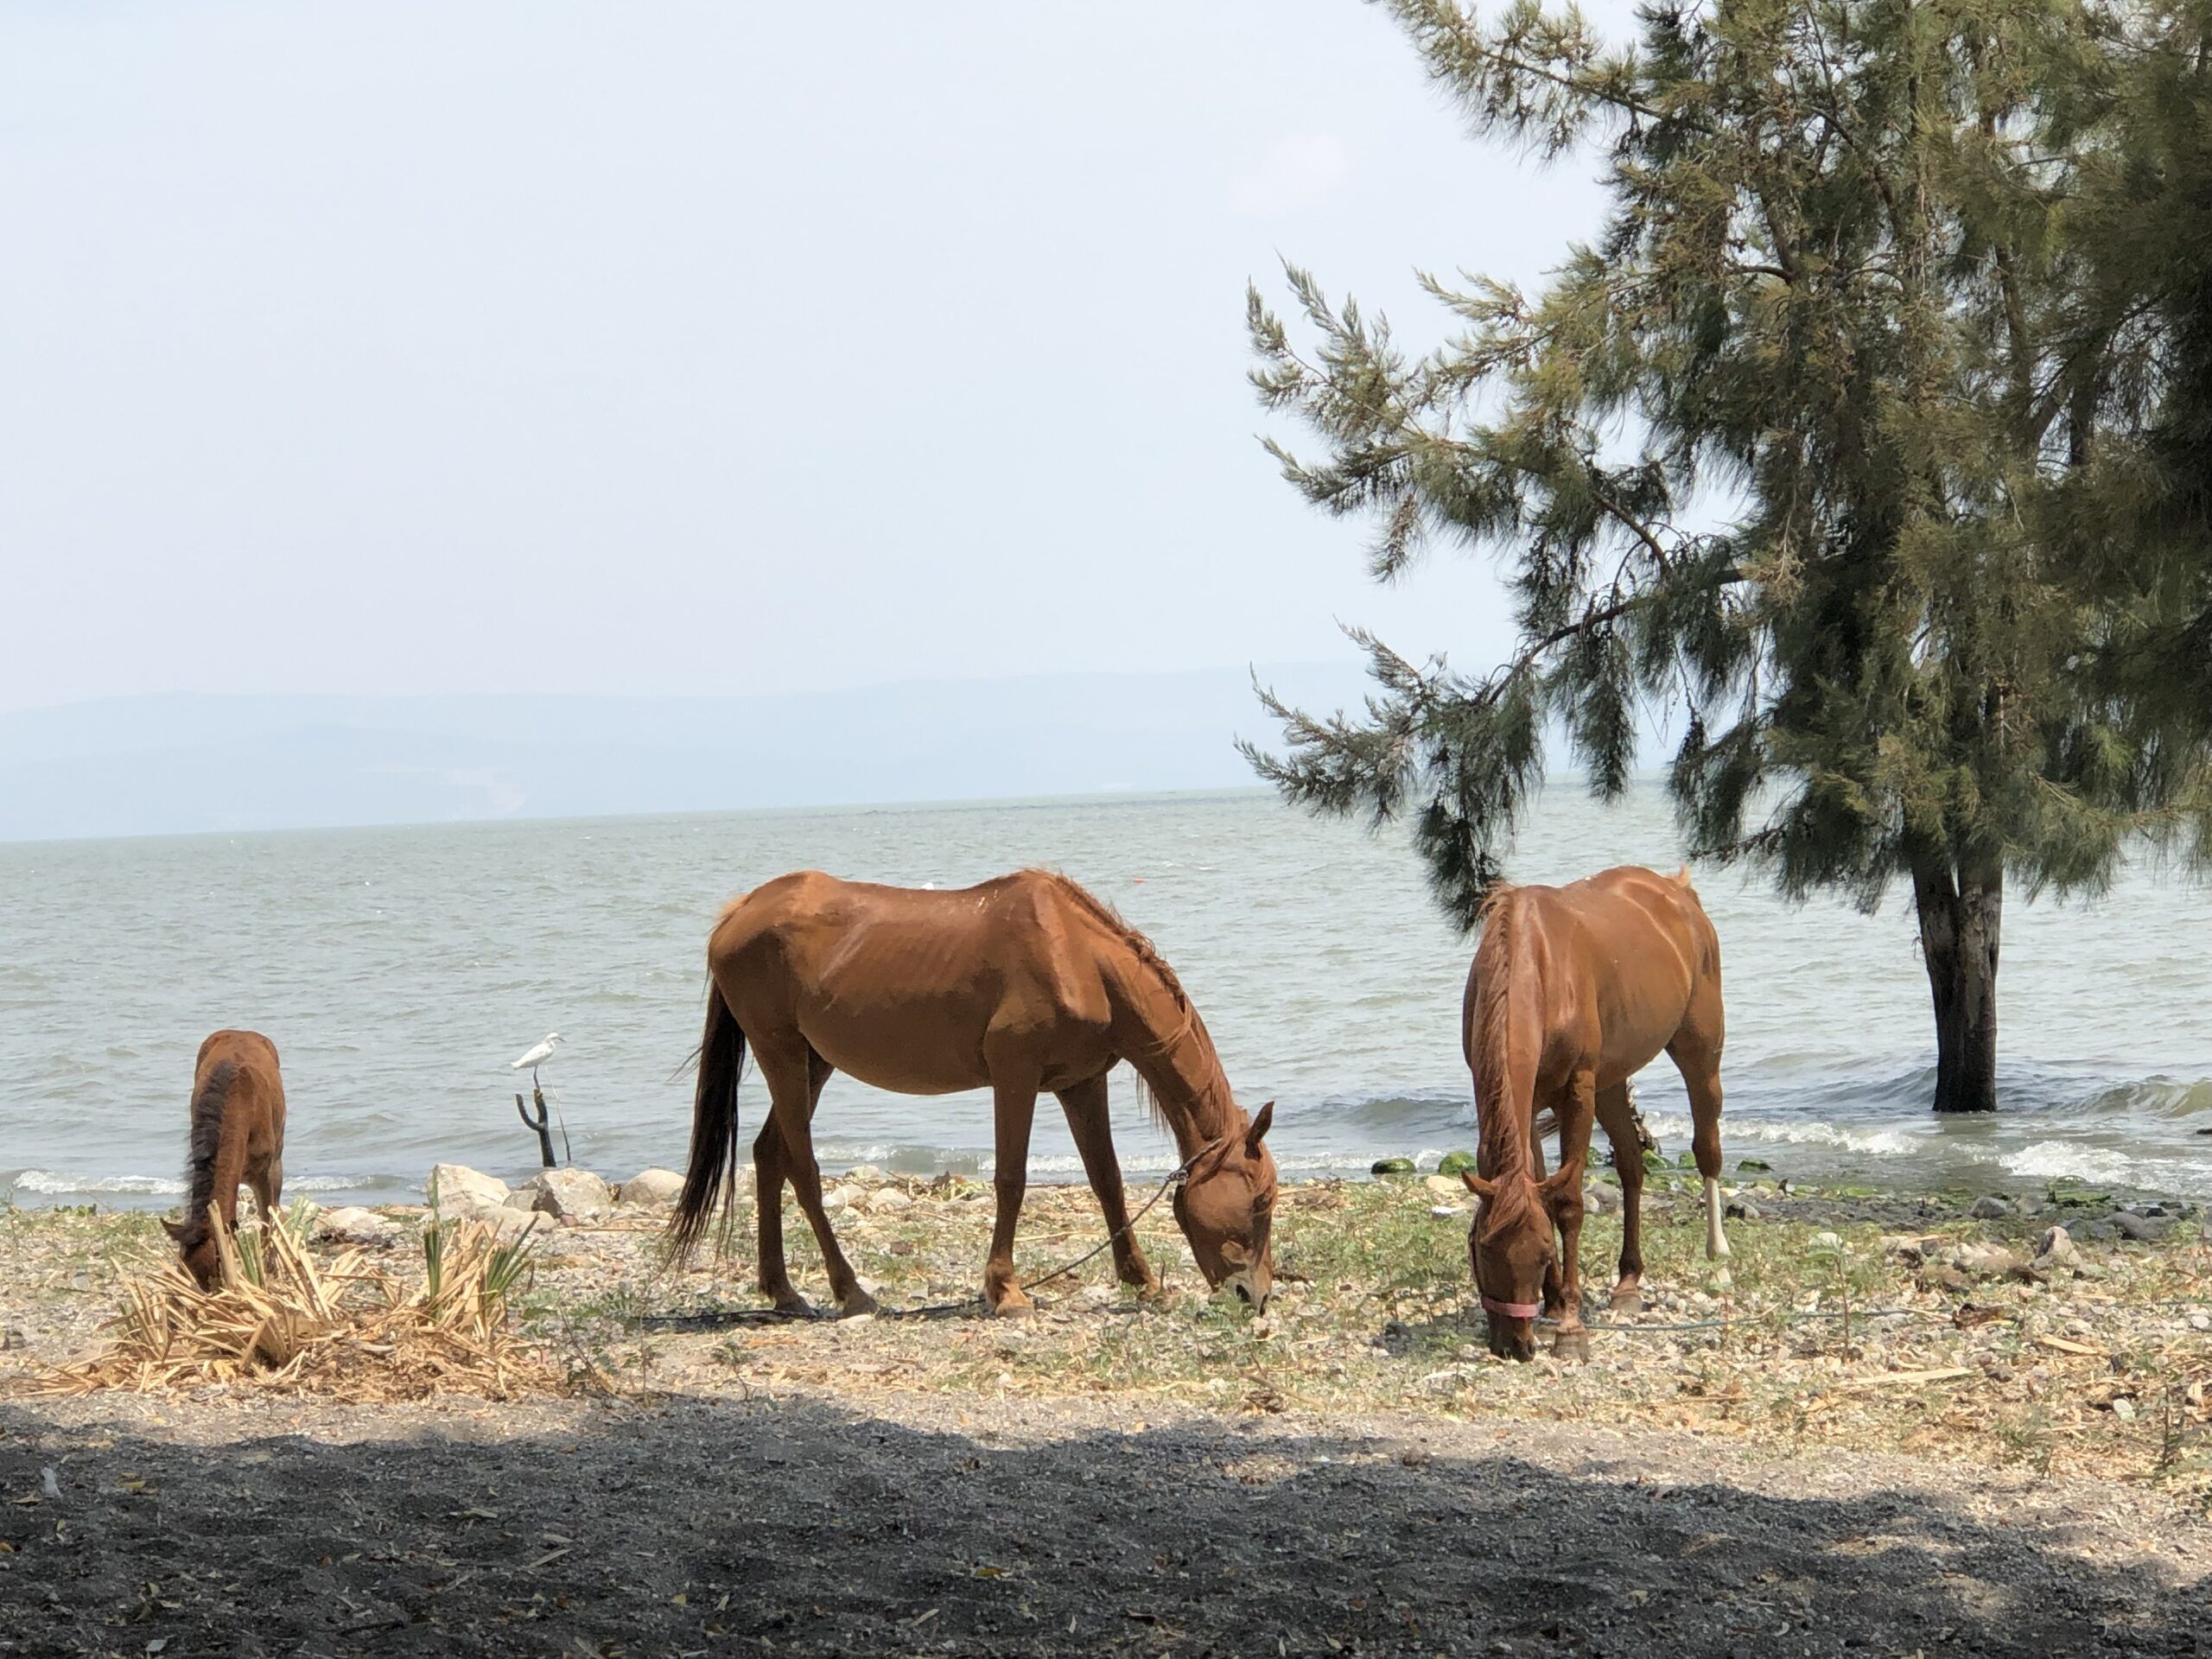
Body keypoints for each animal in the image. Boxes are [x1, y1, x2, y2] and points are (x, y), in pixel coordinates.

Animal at [666, 868, 1278, 1317]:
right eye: (1262, 1200)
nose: (1257, 1297)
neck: (1078, 956)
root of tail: (739, 913)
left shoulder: (1081, 1084)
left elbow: (1107, 1181)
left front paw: (1142, 1281)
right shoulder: (1016, 1076)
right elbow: (1011, 1179)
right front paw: (1005, 1290)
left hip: (814, 1063)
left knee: (769, 1155)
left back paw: (783, 1291)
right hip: (783, 1056)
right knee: (804, 1169)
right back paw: (851, 1292)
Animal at [1458, 866, 1729, 1361]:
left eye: (1543, 1252)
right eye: (1483, 1250)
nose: (1515, 1345)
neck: (1536, 962)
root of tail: (1676, 889)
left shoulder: (1577, 1092)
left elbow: (1567, 1203)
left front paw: (1569, 1326)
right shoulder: (1529, 1100)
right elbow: (1541, 1184)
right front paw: (1553, 1304)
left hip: (1700, 1052)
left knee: (1707, 1148)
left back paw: (1718, 1260)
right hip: (1612, 1083)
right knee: (1631, 1165)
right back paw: (1628, 1284)